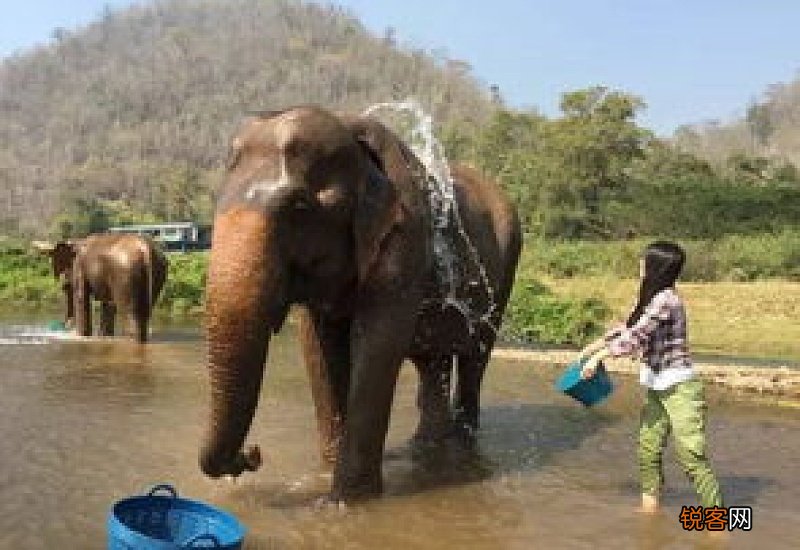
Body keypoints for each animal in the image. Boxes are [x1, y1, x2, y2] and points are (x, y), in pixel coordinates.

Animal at [34, 234, 168, 342]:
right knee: (144, 313)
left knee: (129, 312)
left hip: (125, 274)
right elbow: (108, 304)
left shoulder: (80, 267)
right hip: (158, 272)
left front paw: (82, 337)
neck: (76, 241)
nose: (64, 326)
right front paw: (104, 337)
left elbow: (82, 298)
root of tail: (146, 249)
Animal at [200, 106, 522, 501]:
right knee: (434, 363)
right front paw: (325, 478)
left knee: (476, 359)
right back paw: (425, 447)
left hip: (508, 264)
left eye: (299, 206)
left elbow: (377, 343)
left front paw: (342, 502)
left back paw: (460, 445)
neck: (349, 126)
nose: (253, 454)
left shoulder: (405, 239)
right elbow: (318, 348)